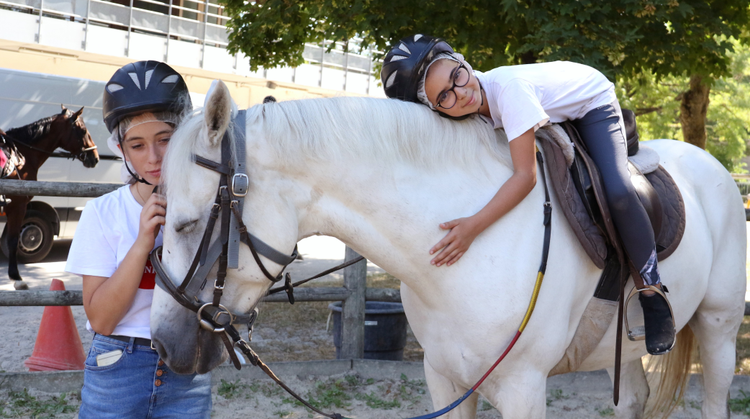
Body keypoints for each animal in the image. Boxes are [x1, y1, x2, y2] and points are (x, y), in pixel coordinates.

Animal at [1, 105, 99, 289]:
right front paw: (16, 278)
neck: (23, 154)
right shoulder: (17, 205)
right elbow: (12, 240)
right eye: (83, 130)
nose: (95, 157)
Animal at [151, 81, 746, 419]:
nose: (160, 344)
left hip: (717, 327)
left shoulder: (523, 389)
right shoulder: (445, 379)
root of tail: (712, 166)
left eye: (187, 223)